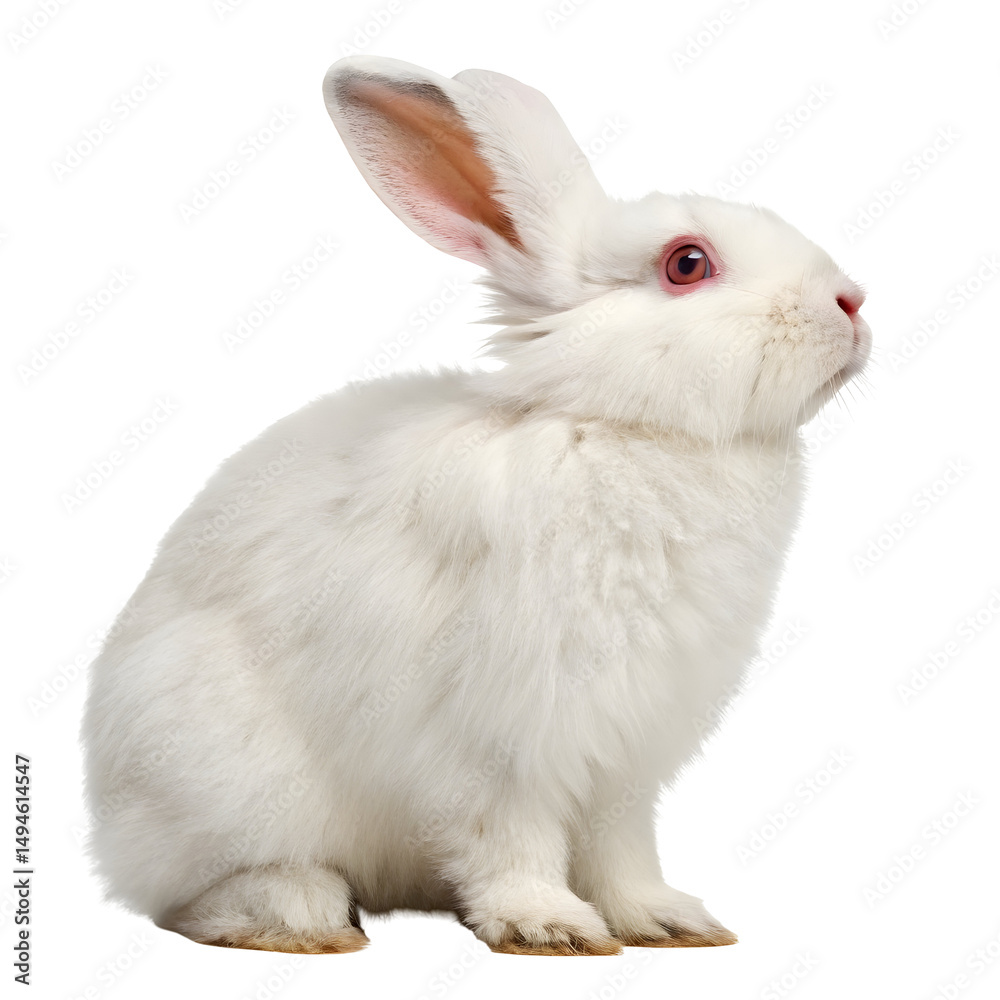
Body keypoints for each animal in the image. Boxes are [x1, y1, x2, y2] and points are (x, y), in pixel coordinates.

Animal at [81, 54, 871, 957]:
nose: (853, 302)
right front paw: (550, 927)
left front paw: (665, 921)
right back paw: (304, 917)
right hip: (224, 778)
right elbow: (510, 836)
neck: (610, 423)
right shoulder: (502, 740)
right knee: (195, 896)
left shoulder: (626, 757)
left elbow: (621, 847)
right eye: (687, 264)